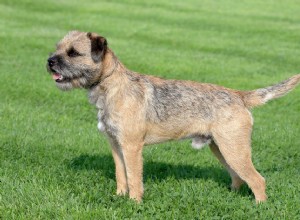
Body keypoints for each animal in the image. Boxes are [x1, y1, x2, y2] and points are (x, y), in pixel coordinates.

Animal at [47, 30, 300, 203]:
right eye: (58, 48)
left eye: (73, 52)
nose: (49, 61)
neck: (112, 86)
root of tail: (239, 95)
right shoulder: (116, 145)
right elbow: (121, 175)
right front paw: (119, 196)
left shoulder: (131, 147)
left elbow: (134, 177)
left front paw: (133, 202)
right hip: (221, 148)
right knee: (238, 177)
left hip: (234, 148)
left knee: (257, 179)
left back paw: (259, 206)